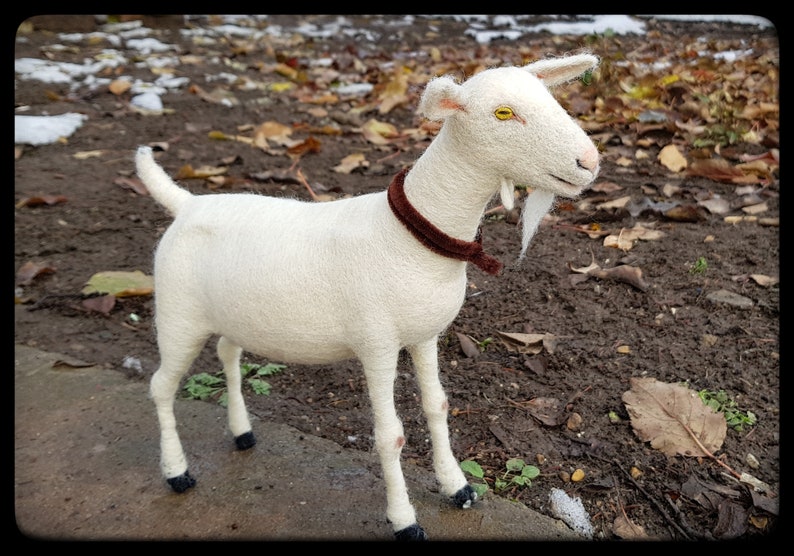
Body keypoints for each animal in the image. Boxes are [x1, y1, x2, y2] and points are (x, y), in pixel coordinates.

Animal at [136, 52, 596, 540]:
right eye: (503, 113)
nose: (589, 161)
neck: (410, 236)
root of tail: (187, 203)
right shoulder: (377, 344)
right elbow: (389, 434)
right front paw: (405, 520)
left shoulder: (425, 336)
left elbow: (437, 406)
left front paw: (458, 488)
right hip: (178, 315)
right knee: (161, 386)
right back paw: (177, 472)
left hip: (232, 314)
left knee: (228, 352)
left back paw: (242, 434)